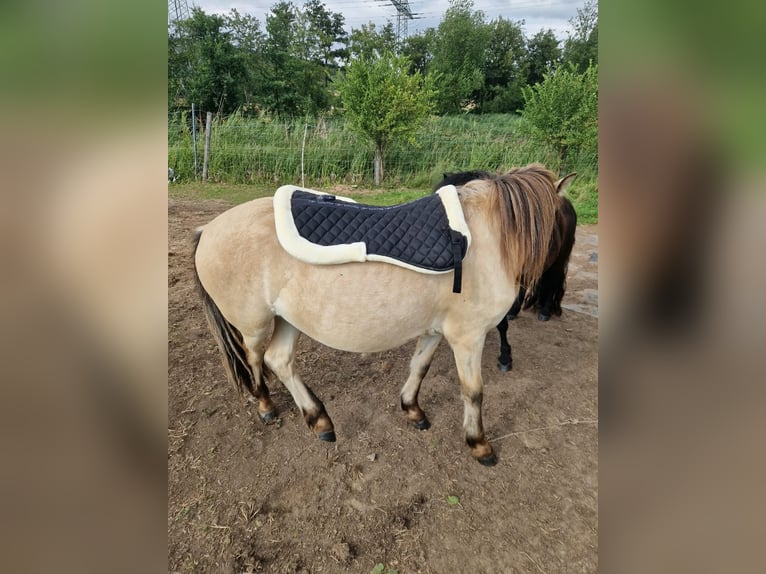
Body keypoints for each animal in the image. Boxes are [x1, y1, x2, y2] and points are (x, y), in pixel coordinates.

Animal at [435, 171, 577, 371]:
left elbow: (500, 324)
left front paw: (505, 356)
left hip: (559, 259)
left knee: (552, 282)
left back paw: (545, 311)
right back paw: (515, 311)